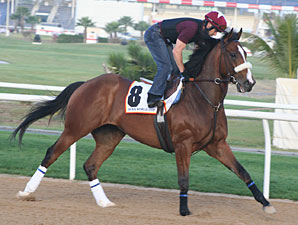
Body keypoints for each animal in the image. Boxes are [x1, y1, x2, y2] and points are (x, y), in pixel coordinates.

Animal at [12, 29, 278, 215]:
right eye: (233, 54)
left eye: (245, 53)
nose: (249, 83)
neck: (202, 99)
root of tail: (86, 83)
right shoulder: (183, 144)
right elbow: (184, 179)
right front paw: (184, 210)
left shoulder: (216, 144)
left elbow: (243, 172)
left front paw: (266, 204)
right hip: (76, 128)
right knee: (51, 153)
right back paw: (26, 192)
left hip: (110, 135)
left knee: (91, 165)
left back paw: (104, 202)